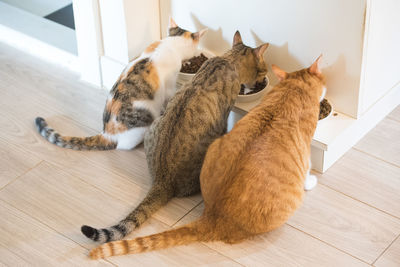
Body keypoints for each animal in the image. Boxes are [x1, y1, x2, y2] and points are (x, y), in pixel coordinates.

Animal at [34, 18, 206, 151]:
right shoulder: (169, 86)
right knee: (123, 146)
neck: (168, 44)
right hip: (142, 127)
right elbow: (169, 97)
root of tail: (106, 134)